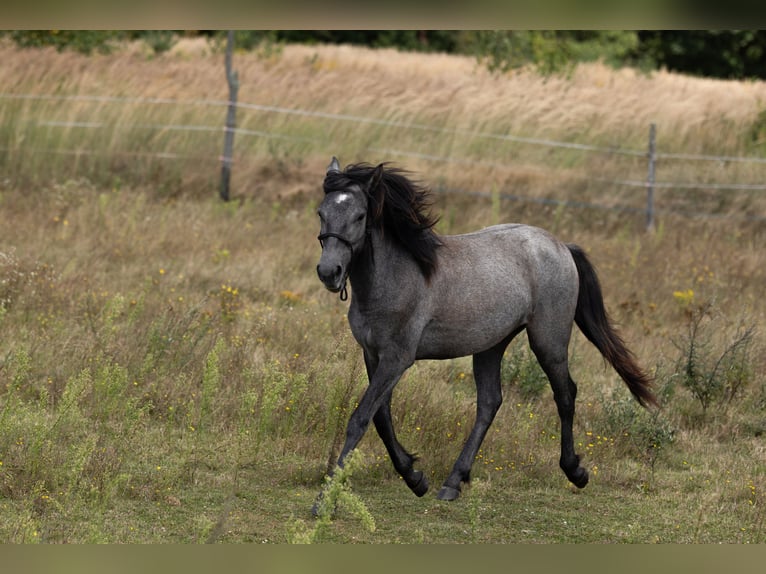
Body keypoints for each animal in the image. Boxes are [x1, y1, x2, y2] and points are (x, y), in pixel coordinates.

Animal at [315, 156, 657, 506]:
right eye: (321, 213)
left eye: (359, 215)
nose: (329, 272)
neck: (397, 276)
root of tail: (561, 246)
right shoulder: (373, 356)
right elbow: (381, 418)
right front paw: (415, 478)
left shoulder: (397, 359)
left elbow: (360, 418)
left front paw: (324, 498)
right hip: (491, 345)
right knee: (490, 402)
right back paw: (453, 482)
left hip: (548, 340)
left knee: (565, 394)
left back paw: (575, 471)